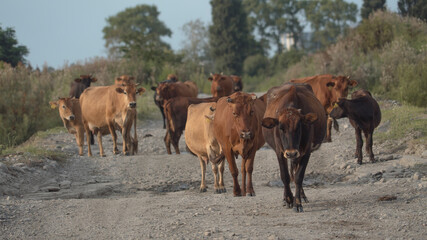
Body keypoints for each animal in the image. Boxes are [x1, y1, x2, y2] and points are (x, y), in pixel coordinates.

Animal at [260, 83, 328, 212]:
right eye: (281, 128)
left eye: (299, 126)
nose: (291, 153)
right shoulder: (280, 152)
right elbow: (285, 176)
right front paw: (288, 199)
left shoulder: (306, 151)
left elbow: (298, 177)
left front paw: (297, 202)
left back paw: (302, 195)